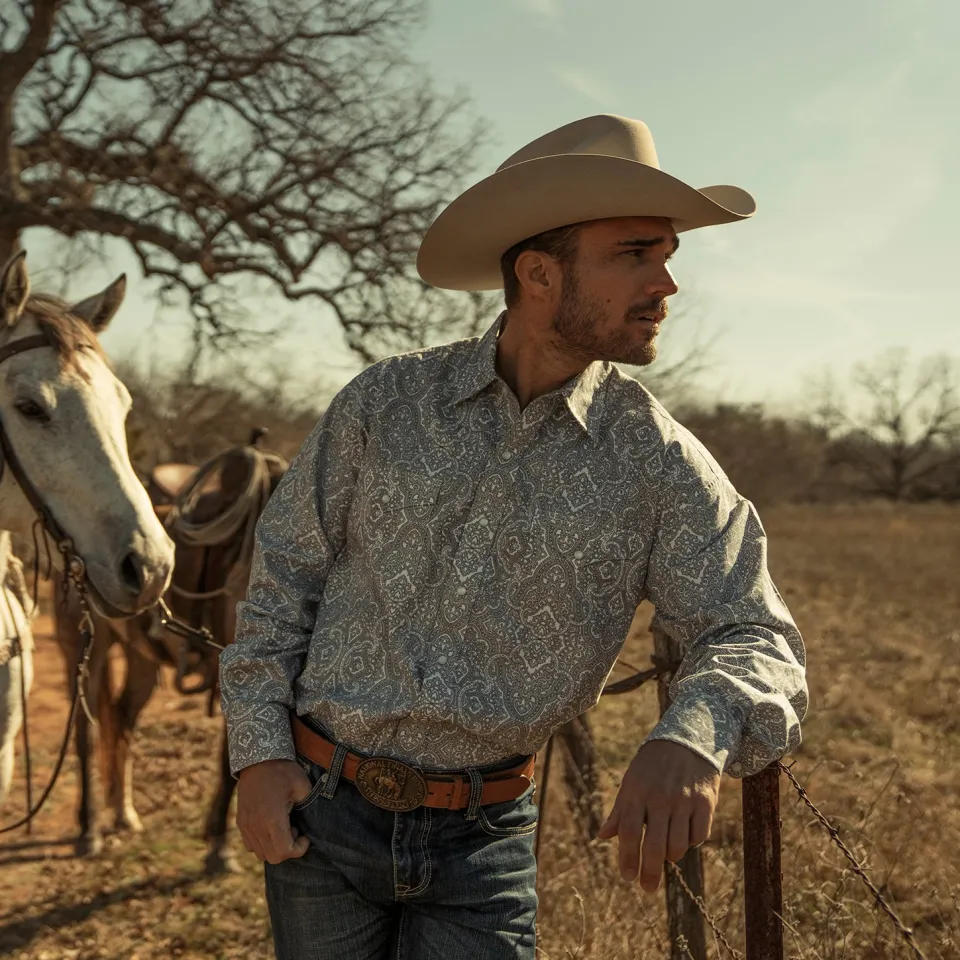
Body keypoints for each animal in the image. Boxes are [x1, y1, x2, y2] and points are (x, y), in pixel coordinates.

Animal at [54, 434, 286, 872]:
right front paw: (220, 846)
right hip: (85, 646)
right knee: (86, 732)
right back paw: (89, 829)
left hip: (142, 657)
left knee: (122, 718)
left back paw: (124, 814)